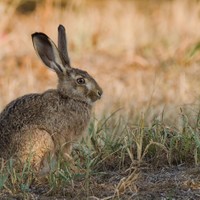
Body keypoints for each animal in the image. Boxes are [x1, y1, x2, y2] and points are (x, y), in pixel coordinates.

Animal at [0, 24, 102, 173]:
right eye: (80, 80)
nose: (100, 93)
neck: (70, 97)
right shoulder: (65, 140)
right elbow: (65, 155)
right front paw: (76, 169)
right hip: (43, 138)